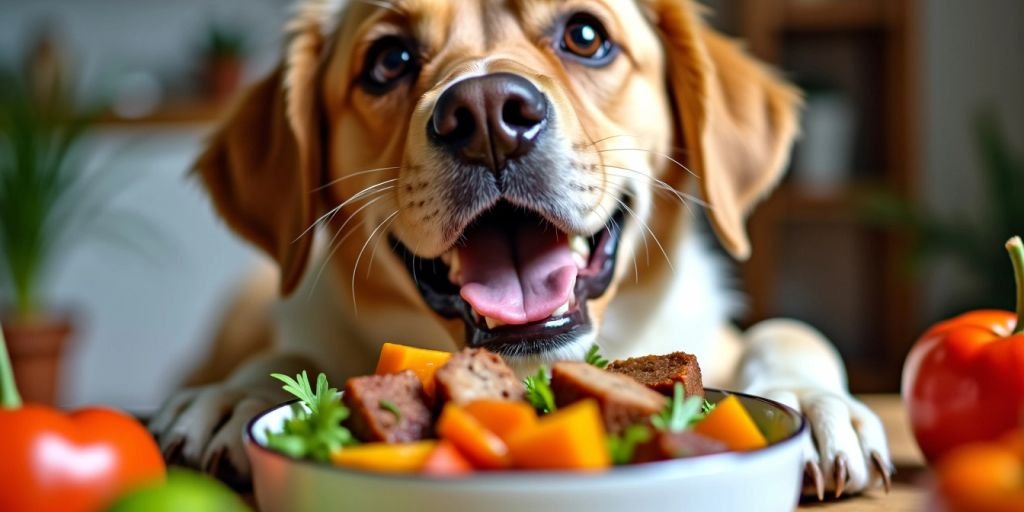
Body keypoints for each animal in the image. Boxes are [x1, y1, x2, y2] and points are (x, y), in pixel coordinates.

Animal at [148, 0, 892, 497]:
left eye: (586, 35)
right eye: (389, 60)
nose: (485, 116)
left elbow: (788, 330)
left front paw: (811, 401)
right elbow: (282, 358)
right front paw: (234, 398)